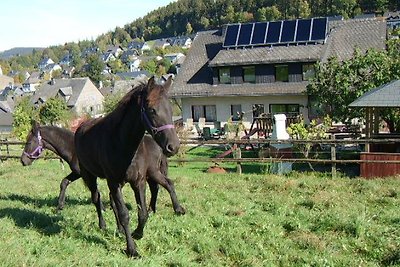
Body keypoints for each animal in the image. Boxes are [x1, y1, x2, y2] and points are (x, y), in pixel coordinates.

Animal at [19, 123, 184, 218]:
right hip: (150, 174)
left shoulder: (83, 174)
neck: (73, 147)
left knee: (168, 184)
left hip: (153, 172)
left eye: (28, 142)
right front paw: (59, 206)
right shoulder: (80, 174)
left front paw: (103, 209)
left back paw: (177, 209)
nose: (23, 161)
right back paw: (151, 210)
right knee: (156, 188)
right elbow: (64, 182)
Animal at [74, 76, 180, 258]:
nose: (173, 147)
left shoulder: (138, 181)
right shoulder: (113, 181)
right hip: (90, 175)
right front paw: (132, 250)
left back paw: (120, 230)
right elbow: (124, 214)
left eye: (170, 109)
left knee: (112, 200)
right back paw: (103, 225)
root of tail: (80, 127)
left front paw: (137, 233)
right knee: (97, 198)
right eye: (152, 110)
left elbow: (142, 213)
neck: (121, 142)